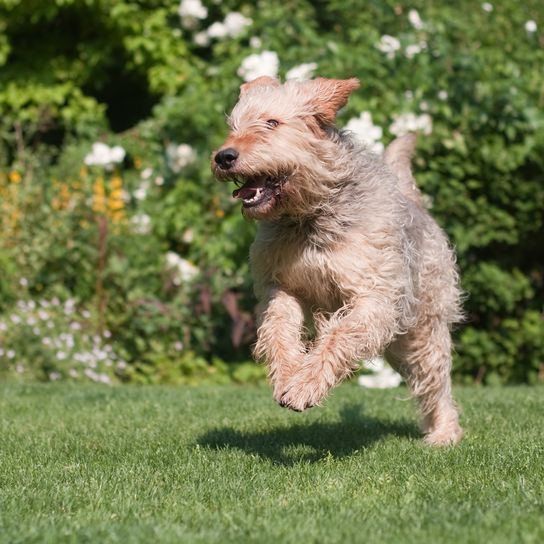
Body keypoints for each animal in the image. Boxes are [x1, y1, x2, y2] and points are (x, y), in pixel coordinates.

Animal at [212, 76, 464, 446]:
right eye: (233, 126)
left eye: (272, 123)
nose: (223, 156)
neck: (311, 217)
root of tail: (413, 201)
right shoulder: (282, 287)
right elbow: (278, 330)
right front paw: (287, 374)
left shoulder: (374, 297)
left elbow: (339, 336)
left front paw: (304, 386)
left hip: (422, 329)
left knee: (436, 380)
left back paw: (444, 432)